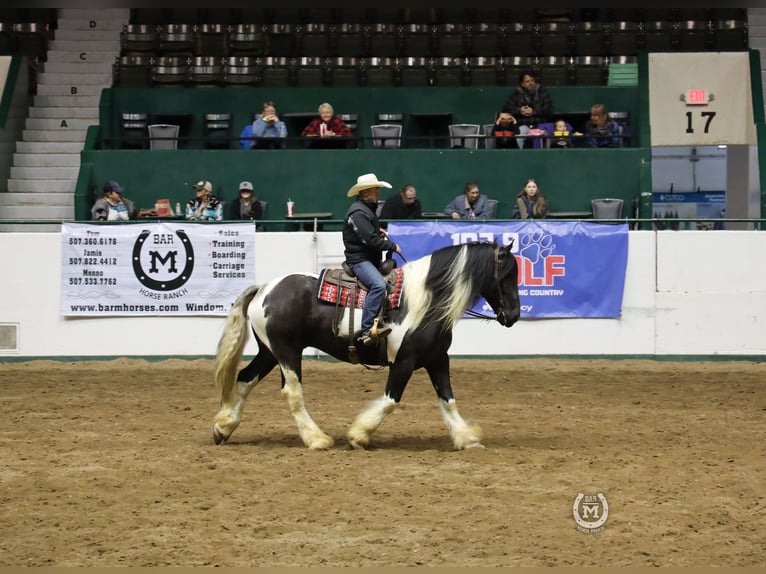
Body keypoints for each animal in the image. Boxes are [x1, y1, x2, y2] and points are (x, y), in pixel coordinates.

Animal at [210, 241, 520, 452]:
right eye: (506, 275)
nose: (514, 315)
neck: (424, 301)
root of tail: (265, 288)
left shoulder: (437, 359)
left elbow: (448, 399)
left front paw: (467, 437)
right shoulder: (404, 361)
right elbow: (391, 400)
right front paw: (358, 435)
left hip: (269, 352)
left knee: (244, 379)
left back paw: (223, 427)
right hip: (287, 351)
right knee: (292, 392)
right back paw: (317, 438)